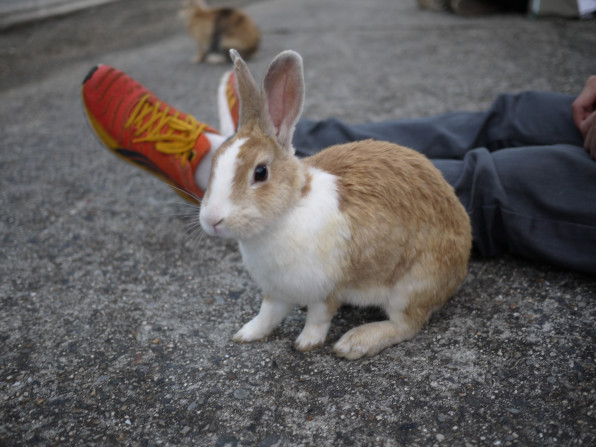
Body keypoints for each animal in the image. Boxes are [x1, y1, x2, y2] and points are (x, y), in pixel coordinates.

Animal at [200, 50, 470, 360]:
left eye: (260, 172)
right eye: (214, 162)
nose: (212, 220)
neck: (290, 210)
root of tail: (461, 266)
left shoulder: (326, 289)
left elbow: (318, 317)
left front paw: (306, 343)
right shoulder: (276, 290)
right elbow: (268, 314)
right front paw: (247, 334)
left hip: (410, 285)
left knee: (407, 324)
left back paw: (355, 342)